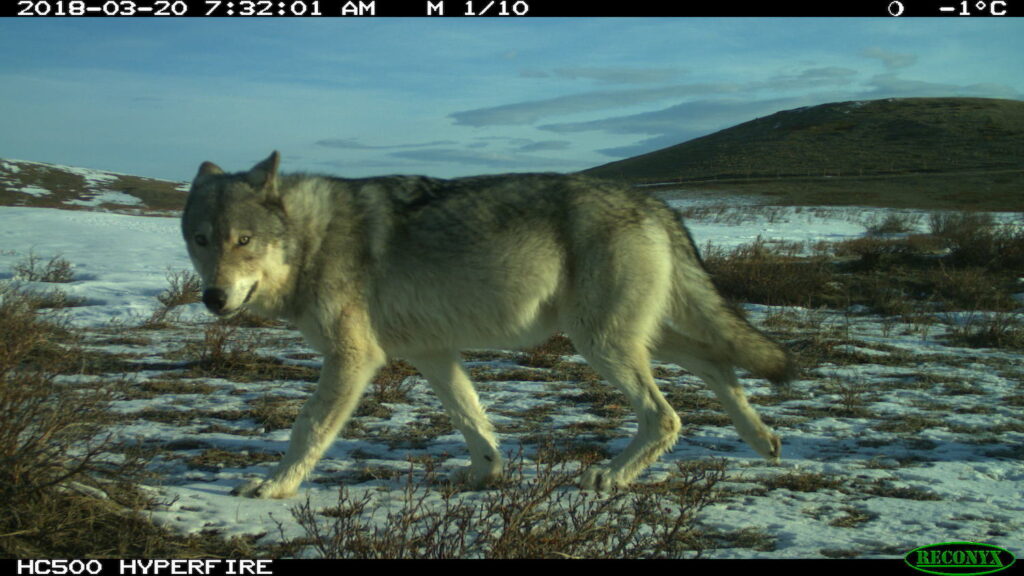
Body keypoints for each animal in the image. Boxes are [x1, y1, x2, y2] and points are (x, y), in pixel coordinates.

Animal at [184, 150, 790, 496]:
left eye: (244, 240)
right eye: (201, 240)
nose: (213, 297)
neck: (313, 240)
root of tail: (654, 203)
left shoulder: (353, 359)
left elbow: (307, 428)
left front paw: (274, 485)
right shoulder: (432, 354)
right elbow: (472, 420)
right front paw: (486, 475)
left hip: (602, 343)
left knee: (666, 416)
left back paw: (611, 477)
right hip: (636, 337)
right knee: (718, 361)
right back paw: (762, 440)